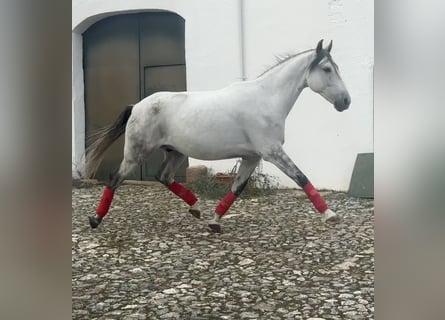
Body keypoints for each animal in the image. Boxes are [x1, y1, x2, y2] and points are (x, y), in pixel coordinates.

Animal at [85, 40, 350, 232]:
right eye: (327, 69)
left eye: (337, 68)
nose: (345, 102)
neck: (266, 99)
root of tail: (136, 106)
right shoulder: (272, 151)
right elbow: (301, 177)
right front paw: (331, 215)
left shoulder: (252, 157)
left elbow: (237, 188)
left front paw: (214, 222)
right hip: (137, 152)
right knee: (115, 178)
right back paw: (95, 219)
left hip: (175, 152)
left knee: (164, 177)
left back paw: (196, 208)